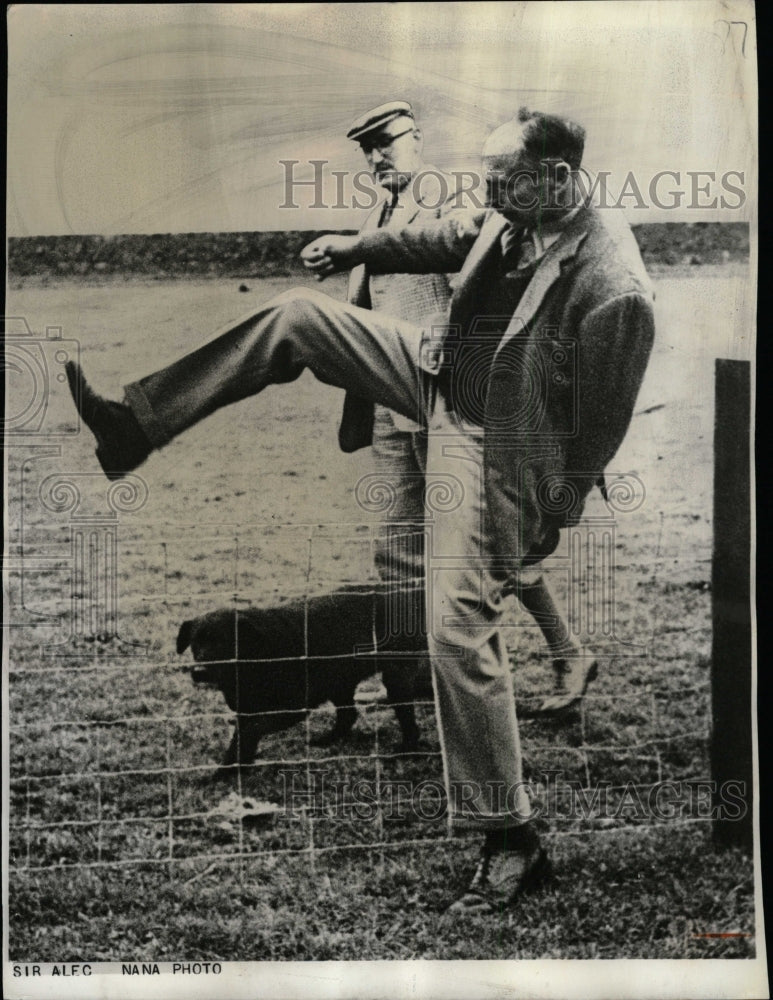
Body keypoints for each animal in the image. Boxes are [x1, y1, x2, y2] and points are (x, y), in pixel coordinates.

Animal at [178, 584, 434, 768]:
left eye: (224, 643)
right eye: (195, 643)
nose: (199, 672)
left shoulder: (293, 707)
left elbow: (251, 730)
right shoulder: (247, 709)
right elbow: (240, 739)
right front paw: (228, 771)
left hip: (395, 679)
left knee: (407, 721)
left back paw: (406, 750)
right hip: (339, 682)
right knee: (348, 714)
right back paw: (329, 738)